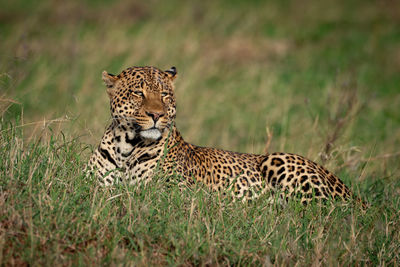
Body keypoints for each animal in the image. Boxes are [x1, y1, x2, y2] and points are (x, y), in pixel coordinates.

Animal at [87, 65, 366, 207]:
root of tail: (357, 198)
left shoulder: (175, 194)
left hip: (279, 160)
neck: (127, 146)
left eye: (165, 95)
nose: (157, 114)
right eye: (138, 93)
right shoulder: (94, 184)